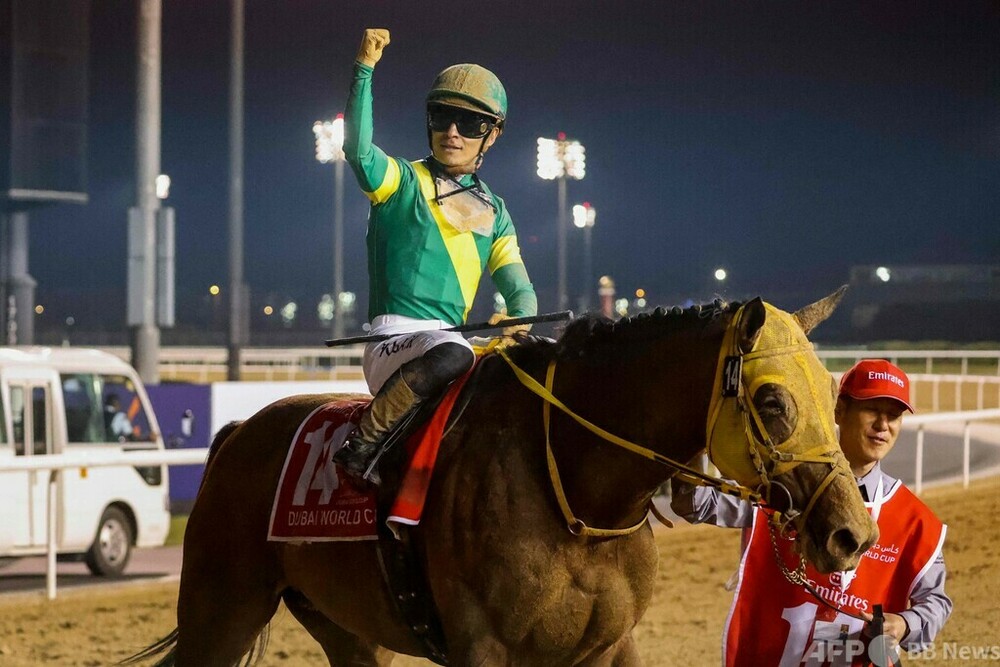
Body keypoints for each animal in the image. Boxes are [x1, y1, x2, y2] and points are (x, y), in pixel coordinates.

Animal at [123, 292, 876, 667]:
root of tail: (237, 432)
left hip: (346, 628)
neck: (572, 489)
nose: (854, 532)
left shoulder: (610, 646)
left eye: (831, 388)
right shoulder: (483, 649)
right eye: (774, 401)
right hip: (220, 609)